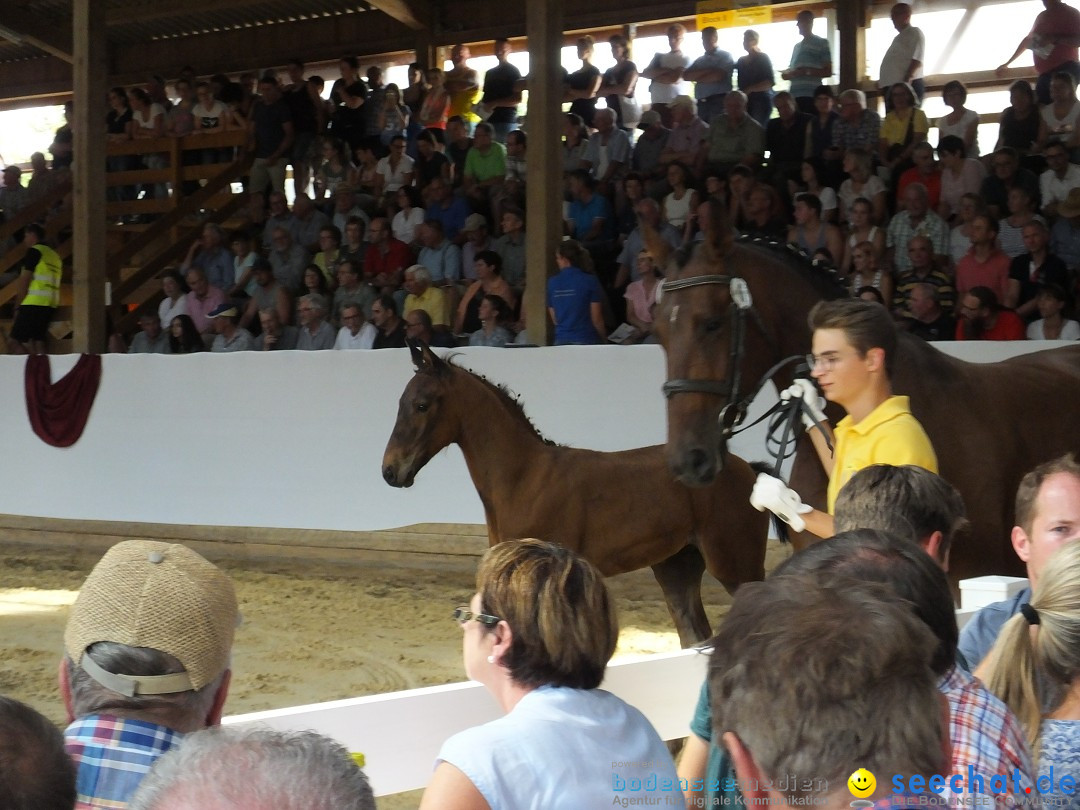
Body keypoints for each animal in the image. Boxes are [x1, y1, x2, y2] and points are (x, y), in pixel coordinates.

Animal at [380, 343, 768, 648]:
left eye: (422, 404)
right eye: (400, 402)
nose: (390, 471)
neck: (524, 479)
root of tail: (749, 469)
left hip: (736, 566)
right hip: (677, 568)